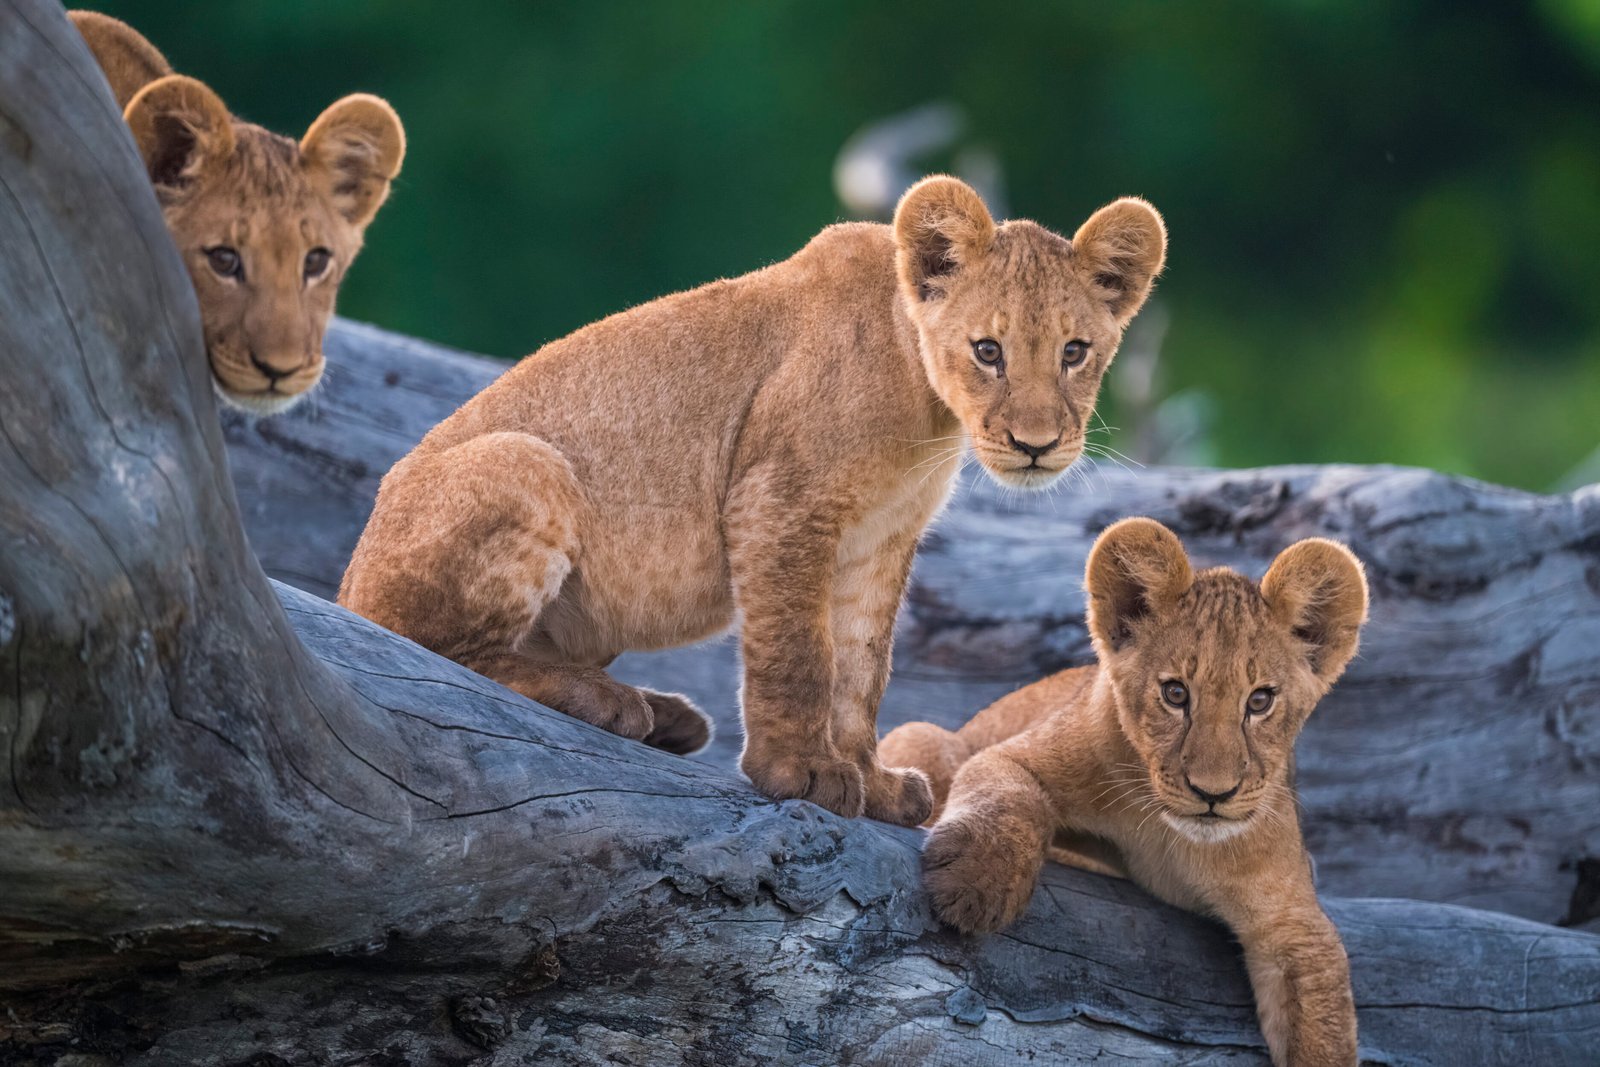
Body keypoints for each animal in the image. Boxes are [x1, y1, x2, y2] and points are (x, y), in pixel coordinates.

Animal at [338, 175, 1166, 826]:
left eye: (1074, 351)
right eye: (987, 350)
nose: (1035, 444)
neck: (928, 410)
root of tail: (346, 581)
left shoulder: (880, 542)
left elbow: (861, 669)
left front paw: (872, 782)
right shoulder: (780, 502)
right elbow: (799, 653)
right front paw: (799, 772)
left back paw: (661, 715)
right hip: (527, 460)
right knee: (434, 650)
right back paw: (604, 699)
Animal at [879, 517, 1368, 1065]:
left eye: (1260, 701)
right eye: (1175, 694)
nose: (1213, 793)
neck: (1173, 841)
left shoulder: (1297, 927)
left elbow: (1322, 1031)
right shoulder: (1017, 753)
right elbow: (1007, 793)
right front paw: (975, 885)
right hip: (926, 736)